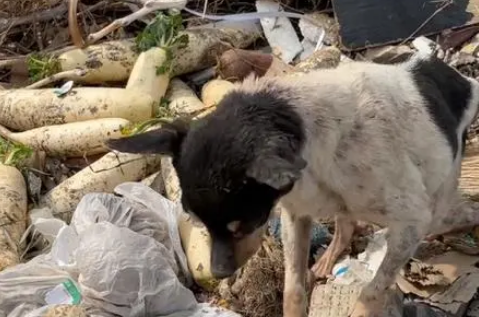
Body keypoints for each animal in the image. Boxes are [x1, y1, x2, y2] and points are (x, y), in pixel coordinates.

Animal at [107, 52, 479, 316]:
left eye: (244, 224)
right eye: (195, 221)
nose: (218, 272)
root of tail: (447, 71)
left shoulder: (411, 221)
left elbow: (372, 289)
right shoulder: (296, 214)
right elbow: (293, 288)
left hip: (440, 192)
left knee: (446, 212)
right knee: (346, 222)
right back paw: (330, 255)